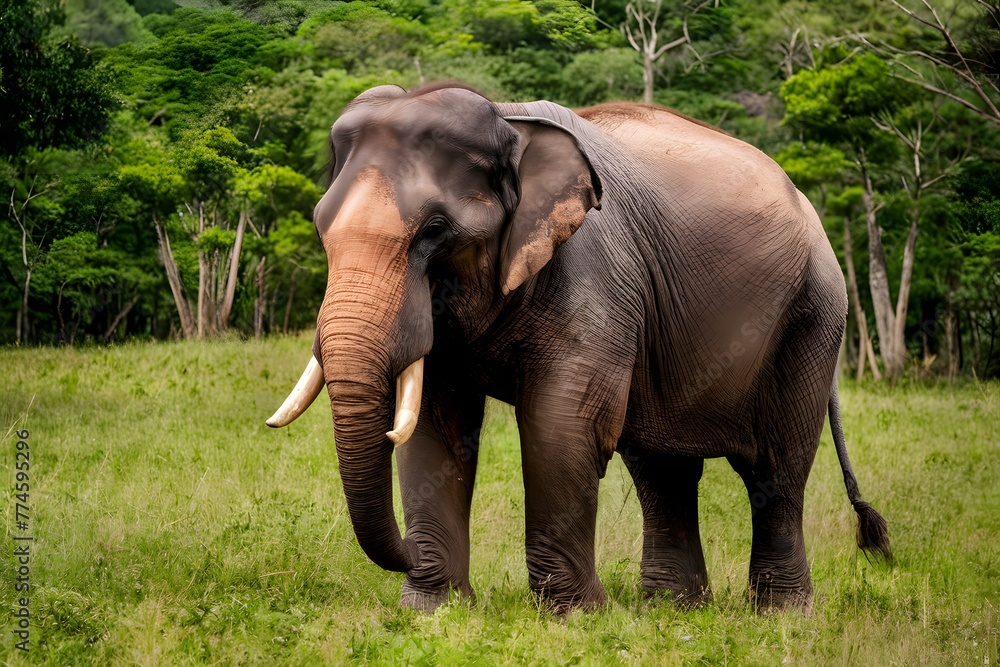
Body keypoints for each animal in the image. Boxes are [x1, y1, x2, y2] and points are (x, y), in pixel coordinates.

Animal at [266, 82, 890, 614]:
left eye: (435, 232)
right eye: (321, 229)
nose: (405, 557)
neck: (509, 120)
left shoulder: (594, 273)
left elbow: (563, 425)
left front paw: (574, 617)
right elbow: (433, 427)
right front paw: (433, 612)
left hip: (812, 315)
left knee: (775, 468)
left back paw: (779, 615)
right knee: (662, 466)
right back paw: (671, 610)